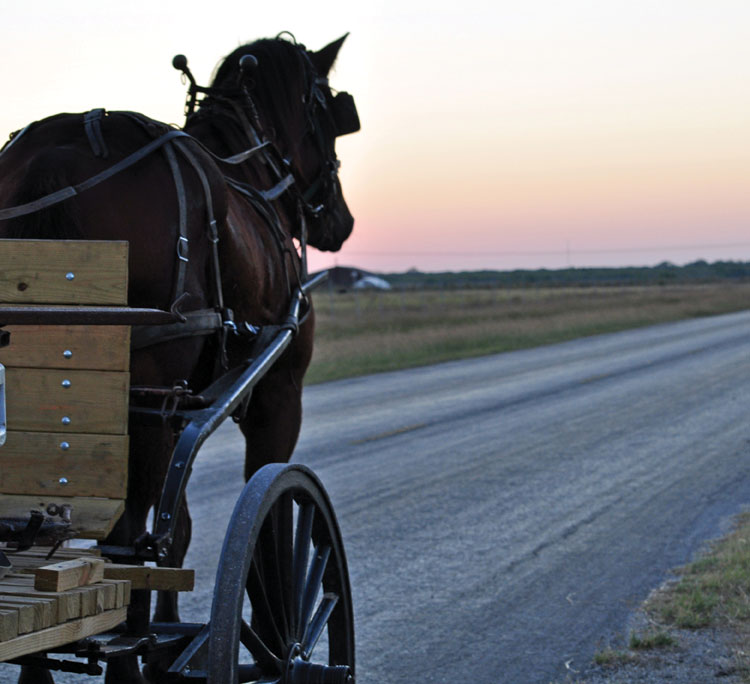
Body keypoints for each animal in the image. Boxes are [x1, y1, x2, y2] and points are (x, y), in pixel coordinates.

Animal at [0, 33, 362, 684]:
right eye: (329, 111)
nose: (340, 221)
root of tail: (59, 152)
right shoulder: (276, 396)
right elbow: (269, 527)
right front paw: (275, 638)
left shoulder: (186, 407)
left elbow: (179, 531)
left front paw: (167, 637)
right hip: (148, 392)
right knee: (125, 535)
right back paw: (125, 649)